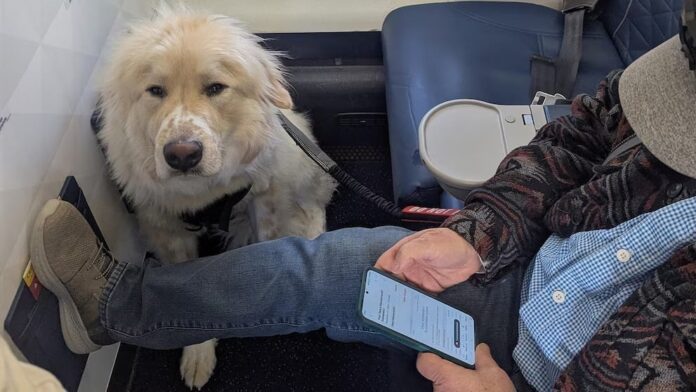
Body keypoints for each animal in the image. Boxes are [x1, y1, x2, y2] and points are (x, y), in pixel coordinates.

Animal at [96, 6, 336, 388]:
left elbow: (266, 245)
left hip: (298, 163)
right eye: (155, 90)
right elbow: (186, 294)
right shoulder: (165, 226)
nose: (181, 155)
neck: (203, 193)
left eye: (215, 88)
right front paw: (198, 354)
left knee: (313, 207)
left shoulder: (264, 198)